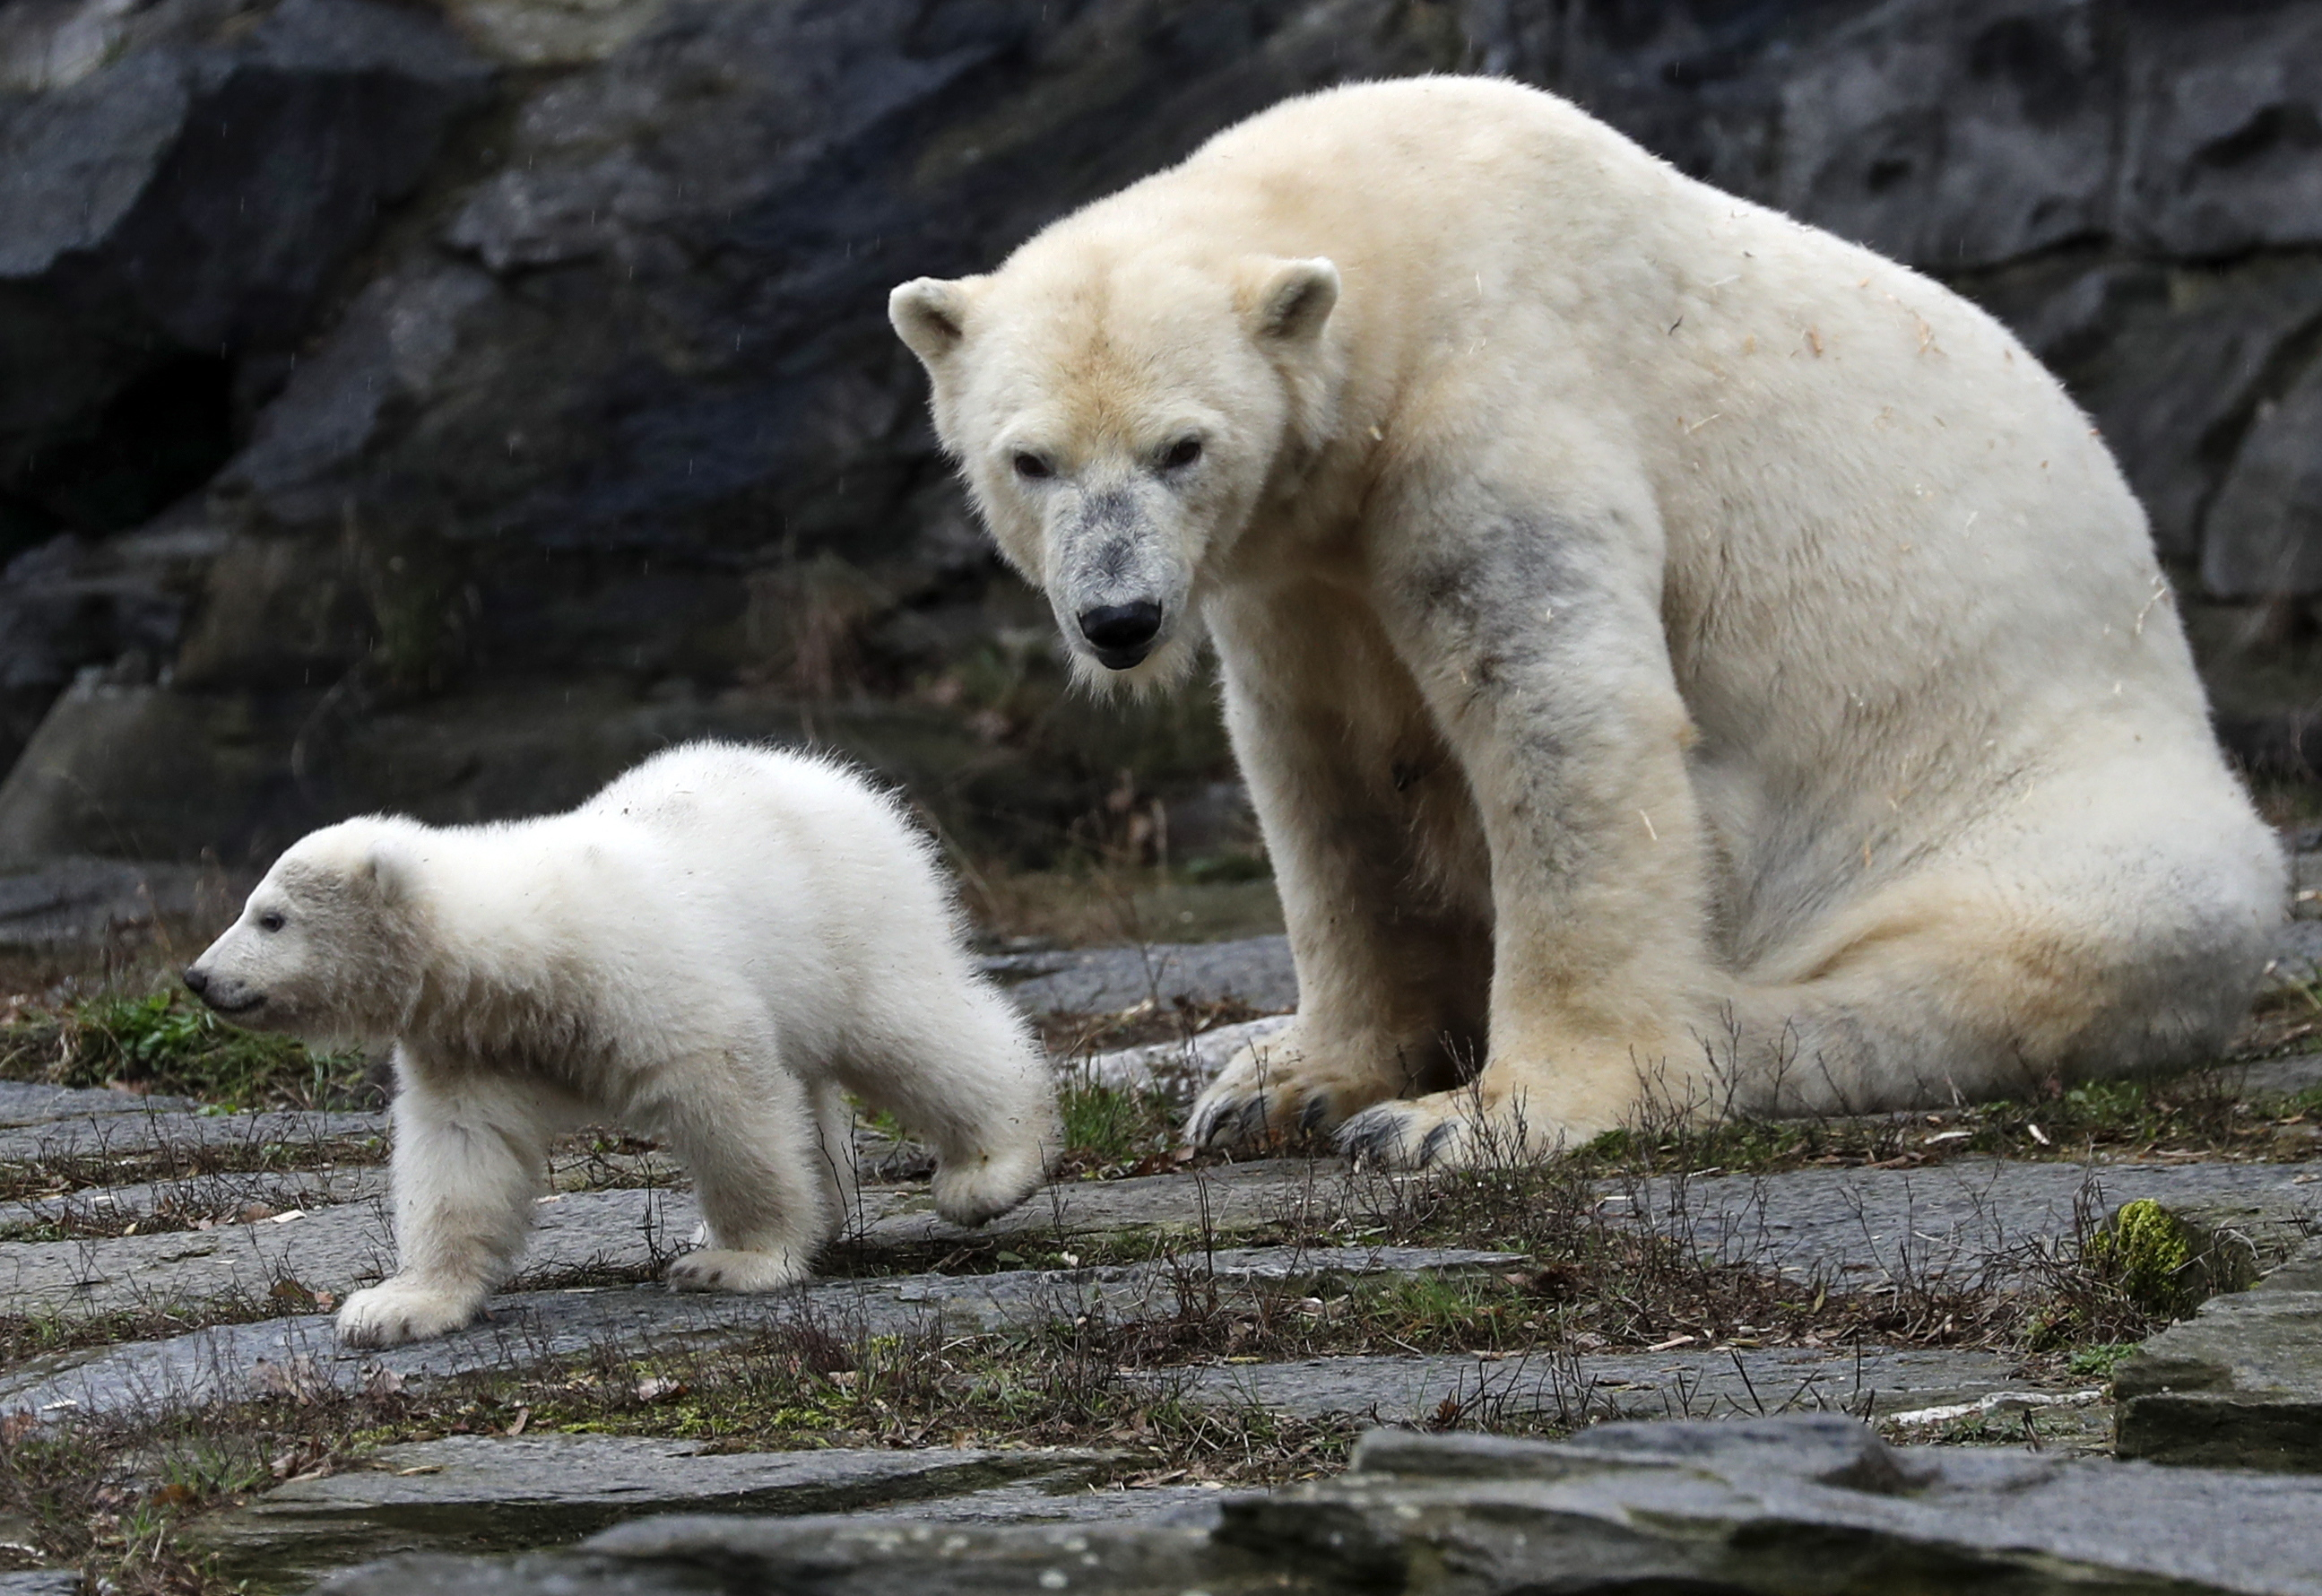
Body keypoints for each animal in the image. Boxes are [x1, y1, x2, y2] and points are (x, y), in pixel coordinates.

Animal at [887, 74, 2284, 1166]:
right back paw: (1222, 1051)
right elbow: (1321, 771)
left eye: (1181, 447)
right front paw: (1297, 1082)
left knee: (1960, 968)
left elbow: (1559, 719)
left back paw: (1723, 1037)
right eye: (1030, 460)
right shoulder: (1295, 567)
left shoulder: (1498, 397)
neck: (1393, 223)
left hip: (2052, 826)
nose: (1117, 618)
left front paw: (1467, 1118)